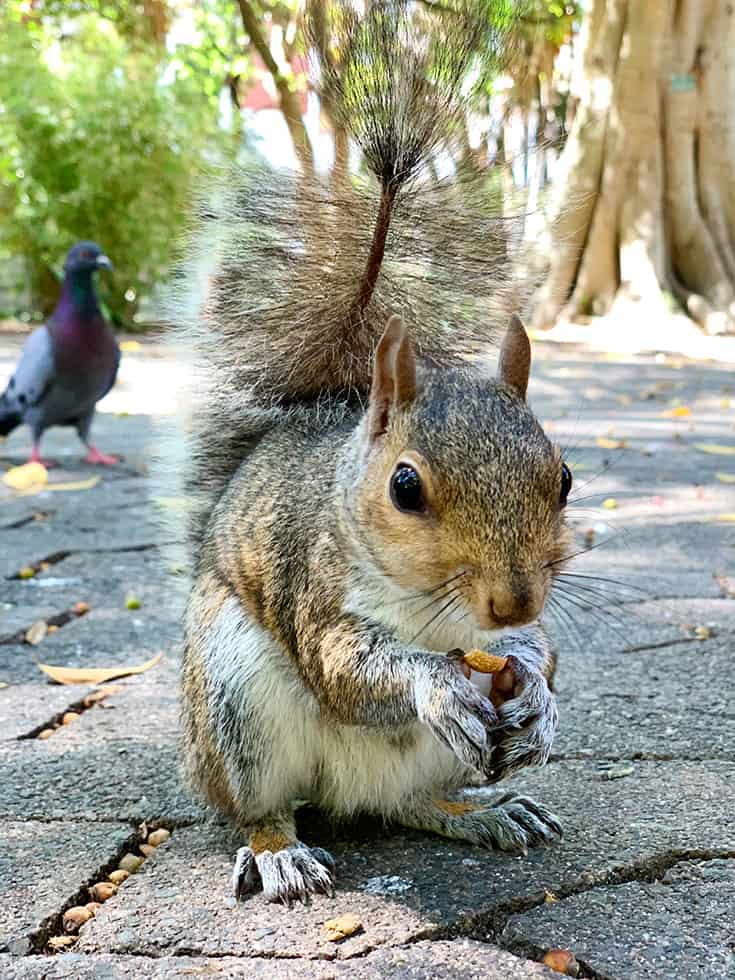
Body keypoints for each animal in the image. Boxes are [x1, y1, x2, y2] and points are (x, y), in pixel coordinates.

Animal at [172, 0, 576, 904]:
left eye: (564, 478)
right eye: (404, 488)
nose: (512, 605)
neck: (440, 616)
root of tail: (342, 794)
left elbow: (537, 656)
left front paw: (535, 689)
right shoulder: (315, 589)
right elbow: (346, 664)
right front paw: (434, 682)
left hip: (417, 767)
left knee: (409, 805)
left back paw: (486, 811)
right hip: (234, 699)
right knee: (262, 805)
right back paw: (279, 851)